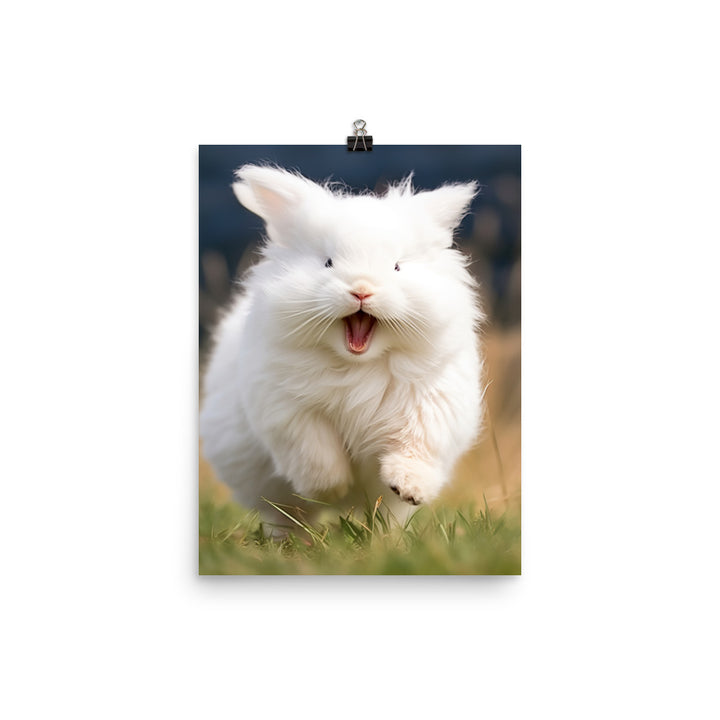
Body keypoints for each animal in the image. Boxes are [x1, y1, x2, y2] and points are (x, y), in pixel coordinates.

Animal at [200, 165, 485, 531]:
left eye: (397, 266)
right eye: (328, 262)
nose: (362, 290)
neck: (358, 363)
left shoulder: (429, 407)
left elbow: (415, 447)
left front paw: (408, 487)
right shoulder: (290, 413)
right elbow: (316, 453)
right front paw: (331, 489)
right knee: (287, 515)